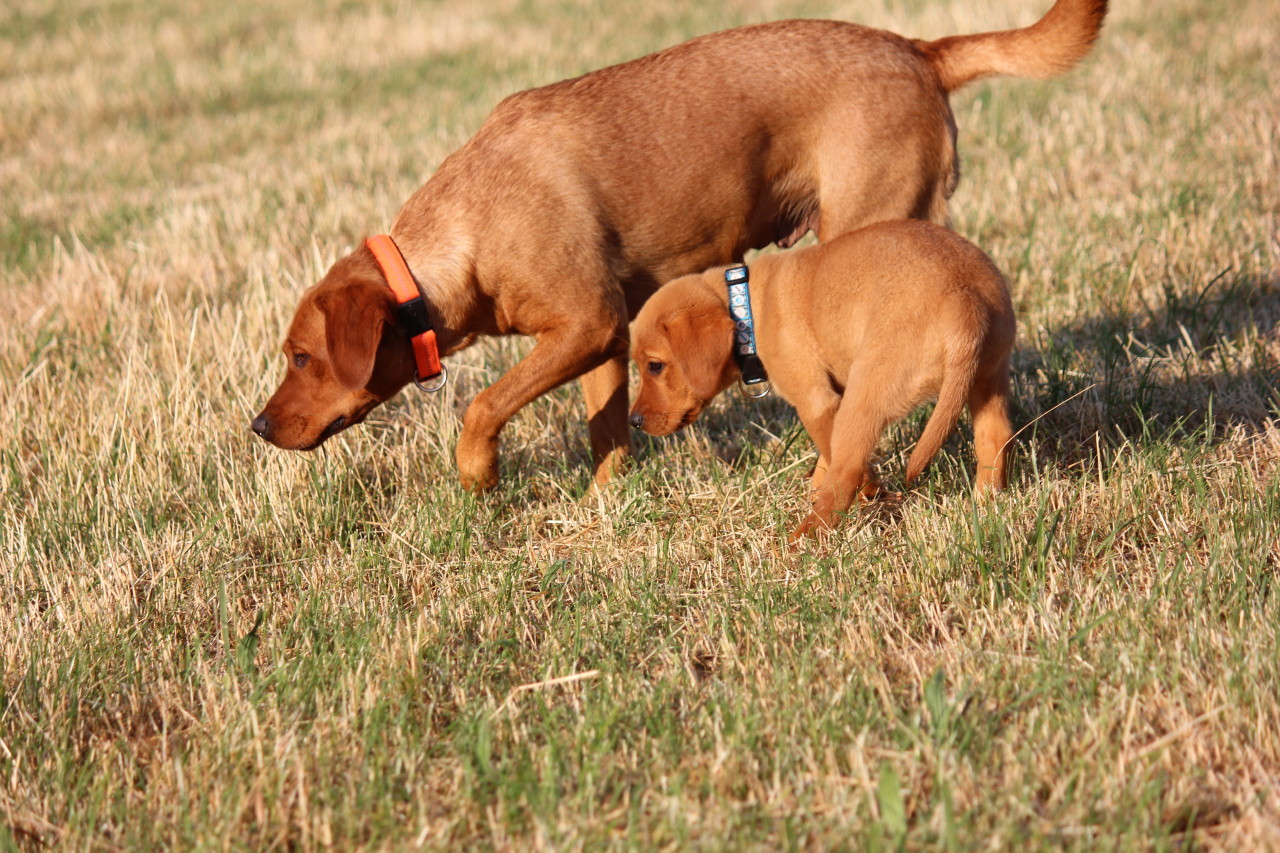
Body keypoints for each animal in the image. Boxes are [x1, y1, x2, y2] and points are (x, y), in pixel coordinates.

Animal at [254, 1, 1105, 491]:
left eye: (302, 358)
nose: (258, 427)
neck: (465, 230)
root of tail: (917, 48)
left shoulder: (587, 320)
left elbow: (482, 405)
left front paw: (478, 475)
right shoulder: (601, 340)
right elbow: (605, 430)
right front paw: (606, 502)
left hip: (865, 224)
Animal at [632, 219, 1018, 537]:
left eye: (654, 366)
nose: (634, 421)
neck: (748, 309)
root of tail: (963, 299)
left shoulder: (816, 401)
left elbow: (835, 457)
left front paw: (865, 495)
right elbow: (826, 457)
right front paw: (823, 488)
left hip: (866, 394)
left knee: (848, 471)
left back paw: (799, 541)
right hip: (988, 376)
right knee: (995, 436)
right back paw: (987, 504)